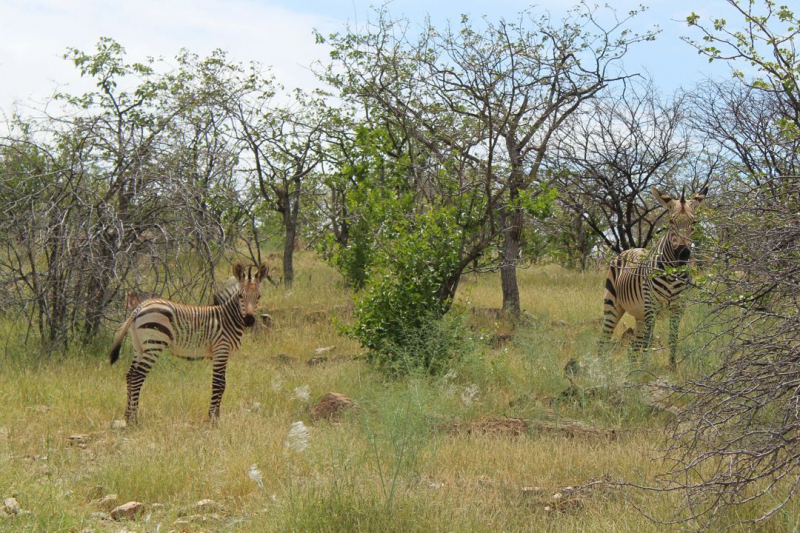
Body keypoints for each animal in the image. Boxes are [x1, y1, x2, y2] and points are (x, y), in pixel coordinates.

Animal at [108, 260, 270, 422]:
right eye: (241, 296)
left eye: (259, 296)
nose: (249, 320)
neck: (227, 318)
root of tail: (139, 308)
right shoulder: (221, 349)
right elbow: (219, 383)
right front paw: (213, 417)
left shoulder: (222, 353)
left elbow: (222, 383)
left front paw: (216, 415)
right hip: (154, 344)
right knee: (137, 376)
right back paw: (134, 419)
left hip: (139, 346)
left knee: (130, 375)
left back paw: (128, 415)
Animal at [604, 184, 708, 366]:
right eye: (671, 222)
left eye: (694, 222)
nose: (683, 254)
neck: (673, 274)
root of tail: (630, 249)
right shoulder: (651, 307)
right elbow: (648, 341)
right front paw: (645, 368)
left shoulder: (678, 308)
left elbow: (673, 338)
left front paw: (672, 367)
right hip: (612, 304)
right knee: (603, 340)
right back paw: (600, 364)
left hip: (639, 315)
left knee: (633, 347)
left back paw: (632, 367)